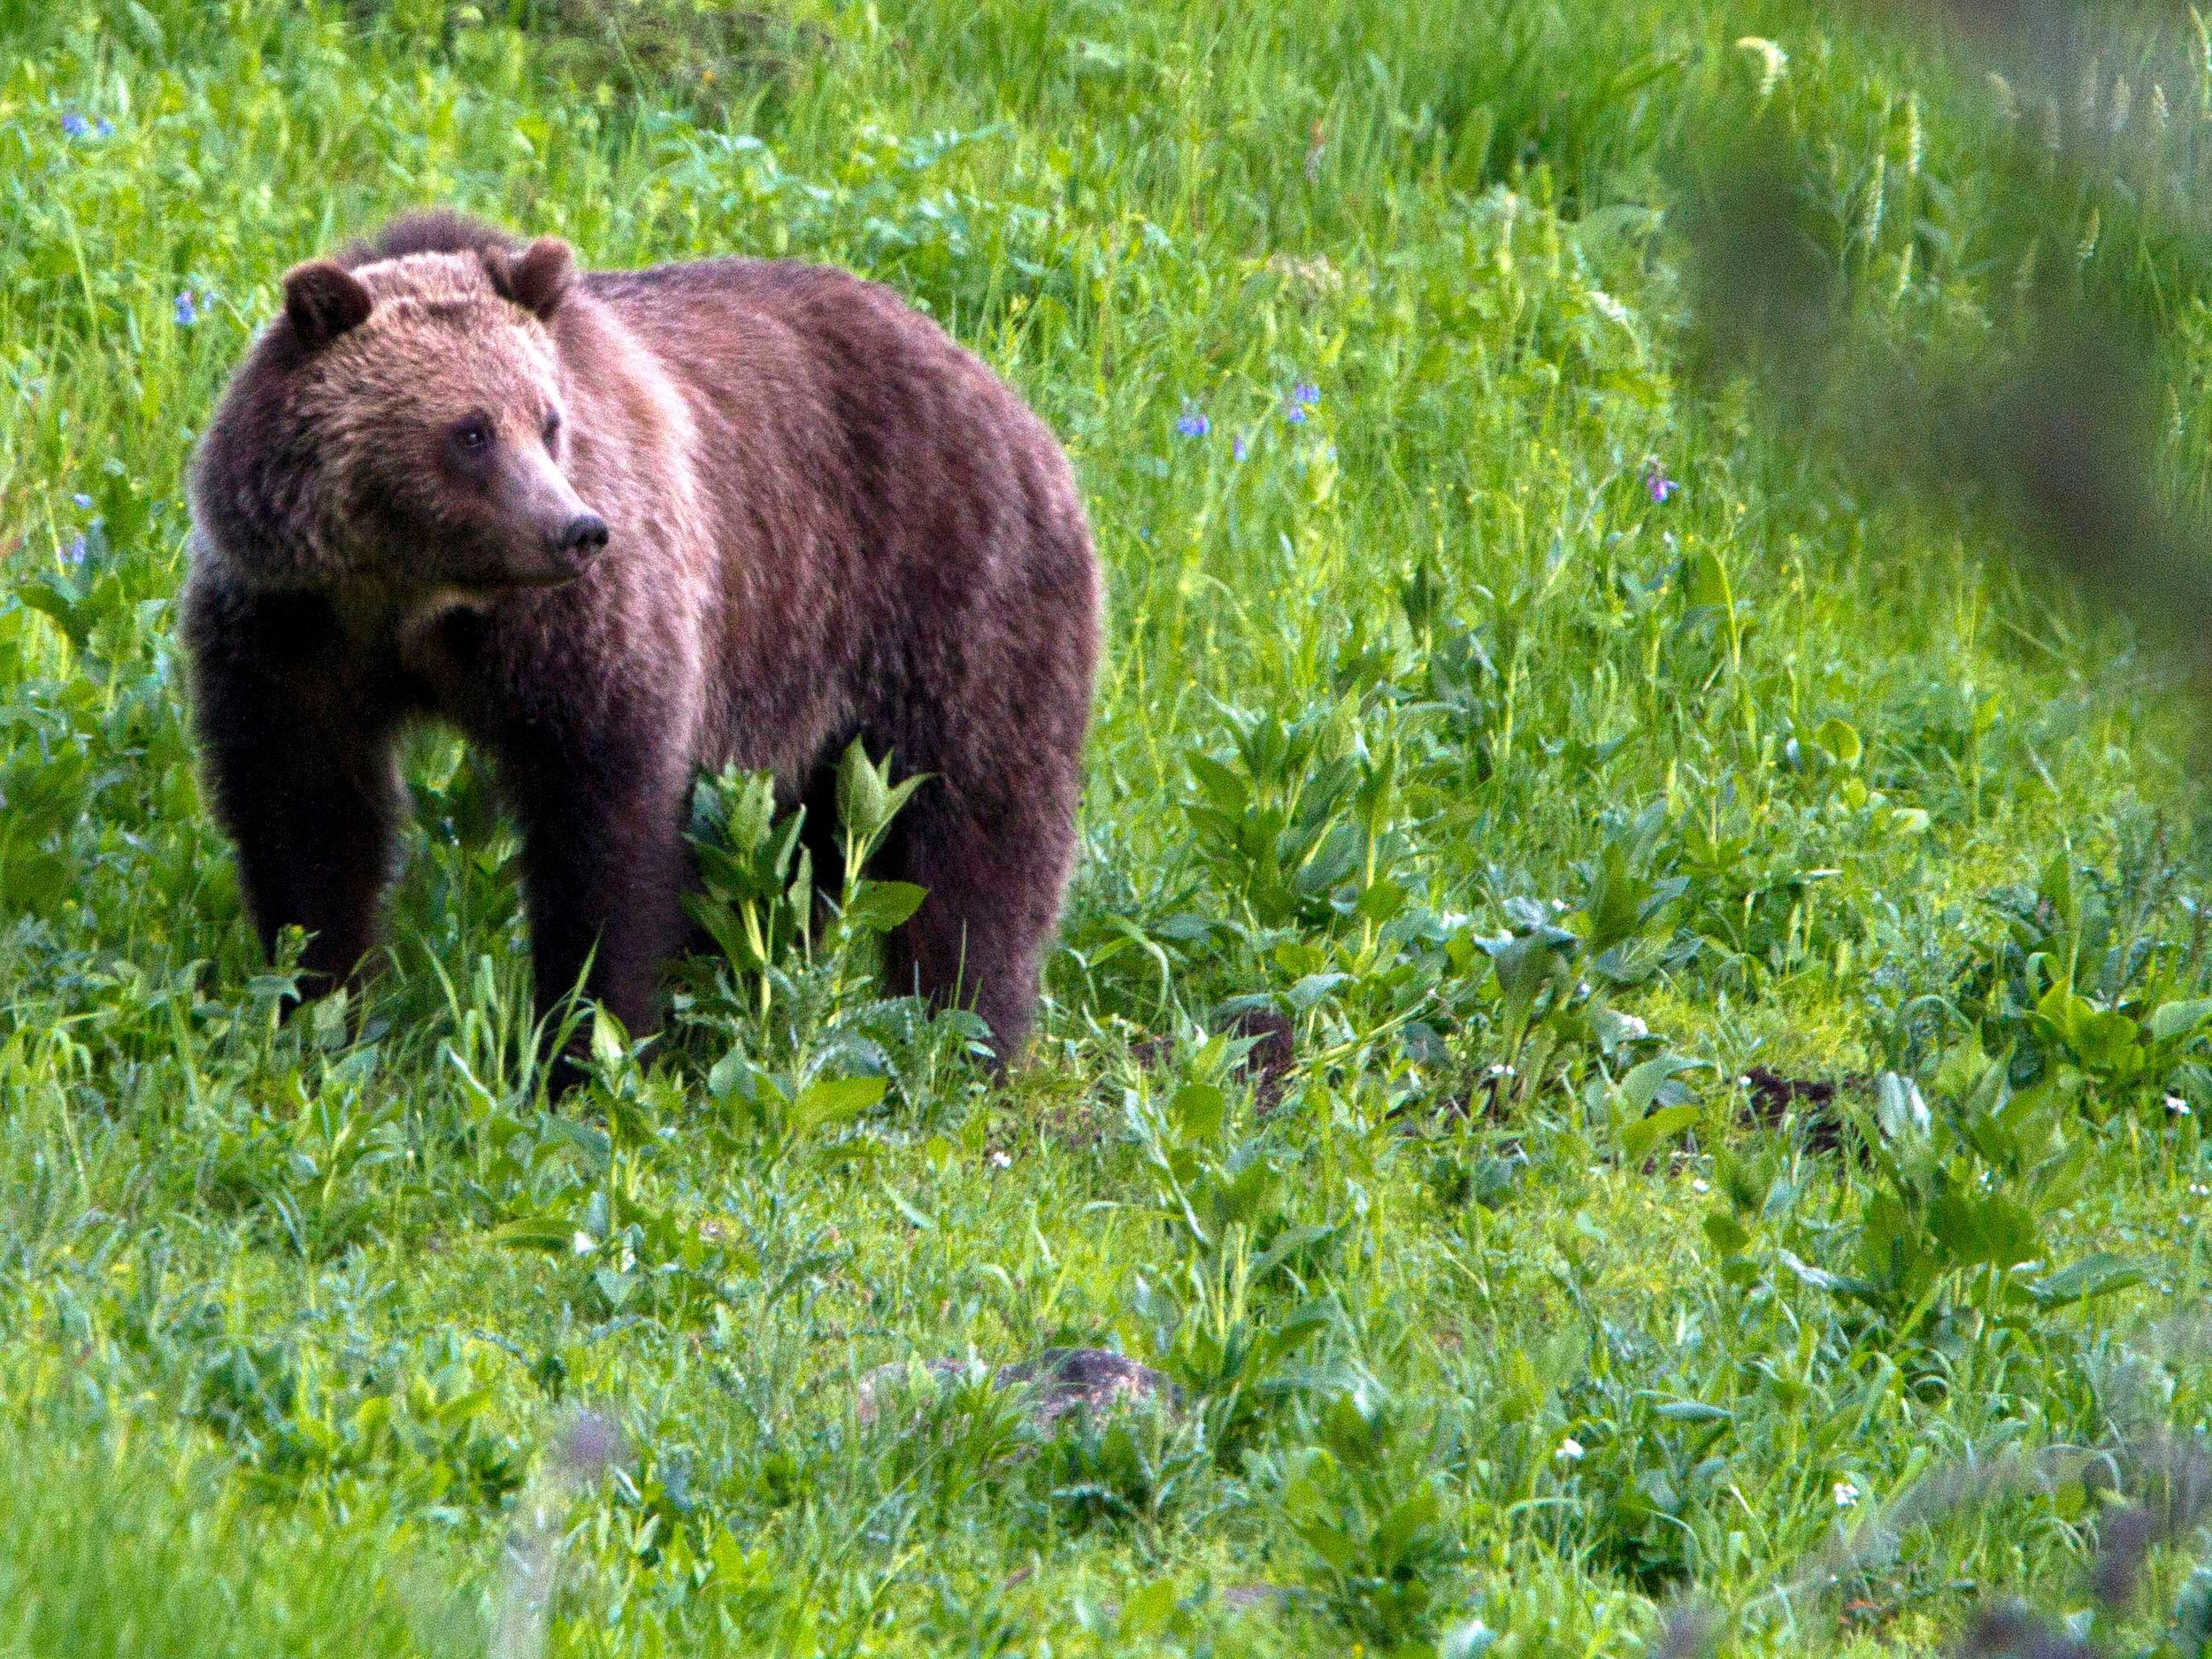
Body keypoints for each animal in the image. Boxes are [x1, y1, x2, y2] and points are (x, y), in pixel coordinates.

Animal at [186, 214, 1102, 1071]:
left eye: (548, 421)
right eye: (471, 431)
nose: (576, 530)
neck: (417, 598)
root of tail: (1006, 394)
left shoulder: (583, 633)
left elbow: (605, 830)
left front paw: (586, 1043)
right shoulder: (293, 628)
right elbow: (307, 816)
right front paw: (317, 1006)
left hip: (950, 600)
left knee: (976, 833)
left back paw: (966, 1035)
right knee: (799, 854)